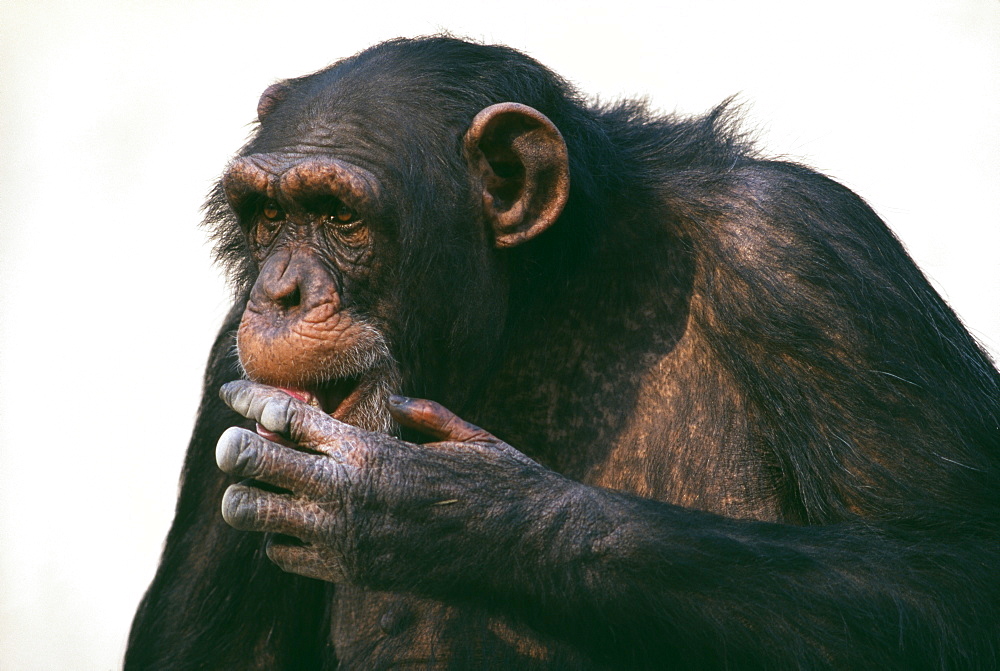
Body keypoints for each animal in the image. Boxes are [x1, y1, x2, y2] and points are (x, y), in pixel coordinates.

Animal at [125, 38, 1000, 671]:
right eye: (267, 214)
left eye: (339, 216)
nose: (279, 292)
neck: (539, 287)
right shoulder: (227, 366)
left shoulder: (808, 254)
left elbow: (956, 570)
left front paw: (446, 508)